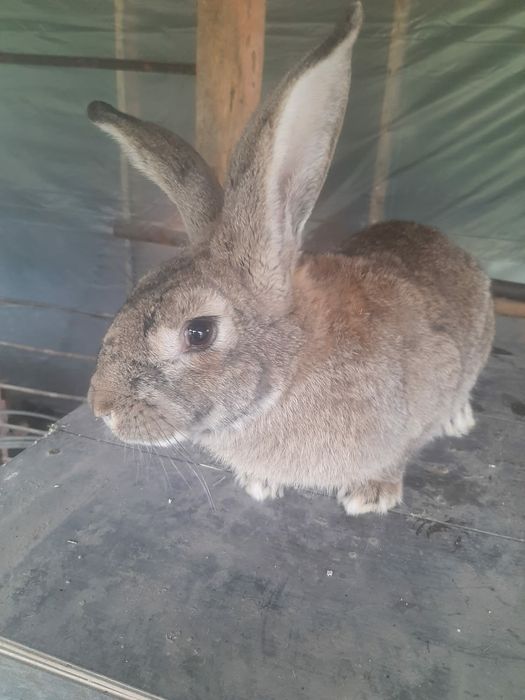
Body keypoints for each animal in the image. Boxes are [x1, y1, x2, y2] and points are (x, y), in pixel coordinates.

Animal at [87, 1, 494, 516]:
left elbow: (403, 448)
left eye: (199, 332)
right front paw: (259, 483)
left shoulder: (430, 379)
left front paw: (371, 495)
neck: (295, 361)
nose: (102, 407)